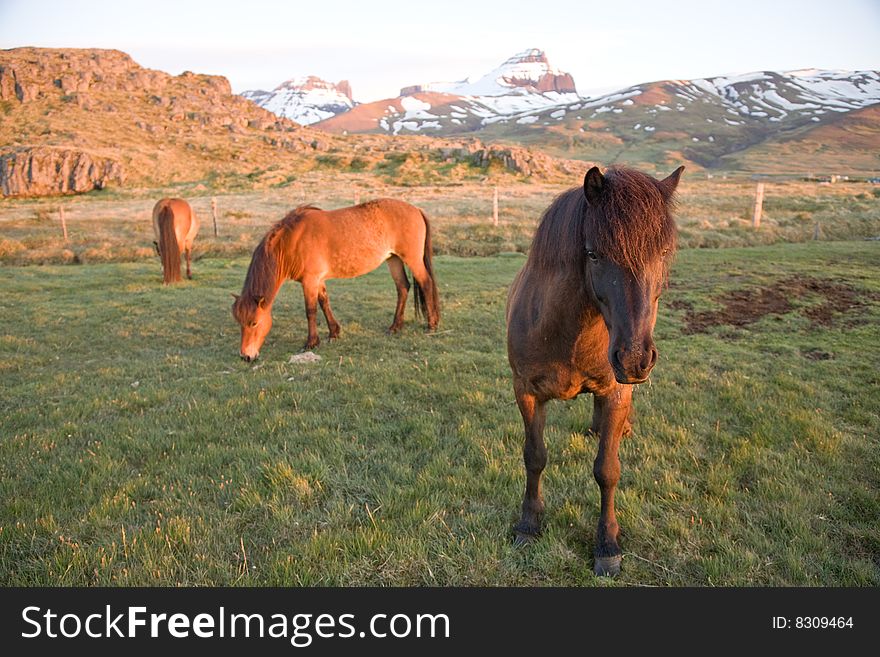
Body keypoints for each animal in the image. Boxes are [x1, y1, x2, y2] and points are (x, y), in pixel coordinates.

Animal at [234, 197, 440, 358]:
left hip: (412, 260)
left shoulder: (310, 281)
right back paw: (395, 327)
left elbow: (311, 310)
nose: (246, 356)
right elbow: (324, 303)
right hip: (394, 259)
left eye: (254, 322)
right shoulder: (318, 280)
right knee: (403, 287)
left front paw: (311, 342)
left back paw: (431, 325)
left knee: (426, 283)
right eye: (239, 322)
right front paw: (334, 332)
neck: (292, 241)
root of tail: (416, 210)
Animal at [506, 164, 684, 576]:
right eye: (593, 254)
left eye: (663, 252)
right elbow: (534, 457)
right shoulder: (526, 392)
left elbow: (607, 469)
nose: (634, 359)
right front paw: (529, 525)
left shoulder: (617, 391)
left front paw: (607, 545)